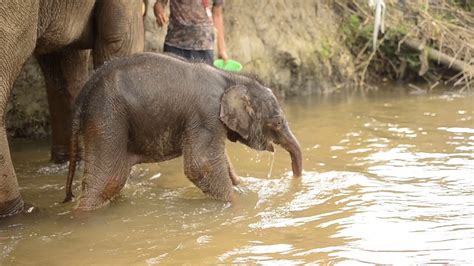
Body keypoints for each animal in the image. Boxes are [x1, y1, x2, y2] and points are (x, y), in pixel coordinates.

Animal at [64, 51, 304, 210]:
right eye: (278, 122)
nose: (295, 180)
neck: (231, 78)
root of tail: (82, 95)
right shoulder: (206, 114)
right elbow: (201, 165)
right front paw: (238, 205)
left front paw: (242, 186)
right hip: (108, 119)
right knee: (107, 180)